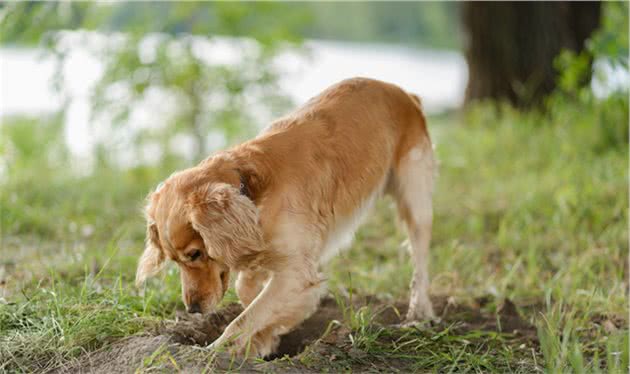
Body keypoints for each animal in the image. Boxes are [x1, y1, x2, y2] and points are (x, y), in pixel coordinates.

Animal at [136, 77, 436, 358]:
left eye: (195, 254)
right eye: (174, 261)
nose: (193, 309)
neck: (251, 193)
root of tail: (403, 92)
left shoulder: (295, 272)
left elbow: (243, 319)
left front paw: (216, 351)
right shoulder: (261, 250)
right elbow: (248, 293)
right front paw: (266, 338)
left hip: (415, 200)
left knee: (420, 264)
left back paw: (418, 314)